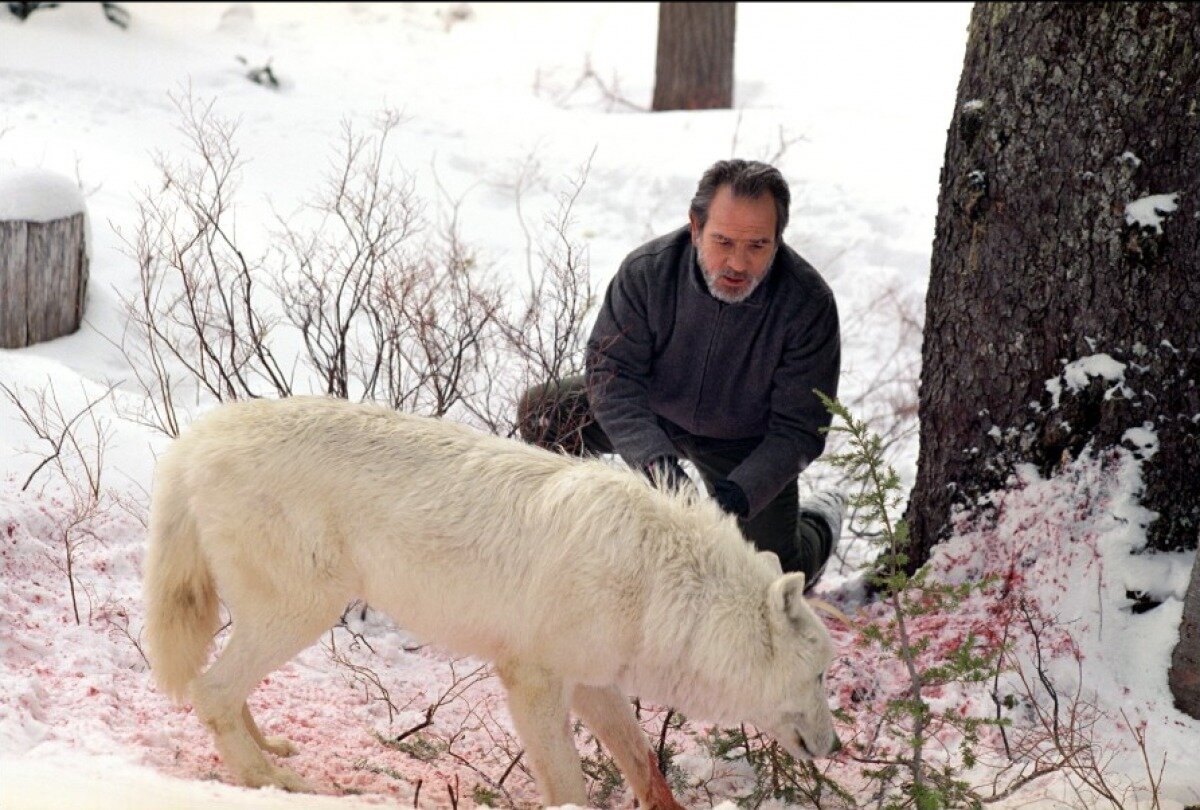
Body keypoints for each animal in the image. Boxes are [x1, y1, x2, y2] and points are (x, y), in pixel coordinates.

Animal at [145, 396, 840, 806]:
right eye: (819, 676)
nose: (834, 745)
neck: (661, 586)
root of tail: (195, 439)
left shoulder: (594, 684)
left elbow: (646, 764)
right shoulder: (533, 682)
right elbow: (570, 786)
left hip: (274, 617)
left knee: (225, 689)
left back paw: (270, 750)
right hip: (303, 613)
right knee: (211, 690)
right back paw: (271, 782)